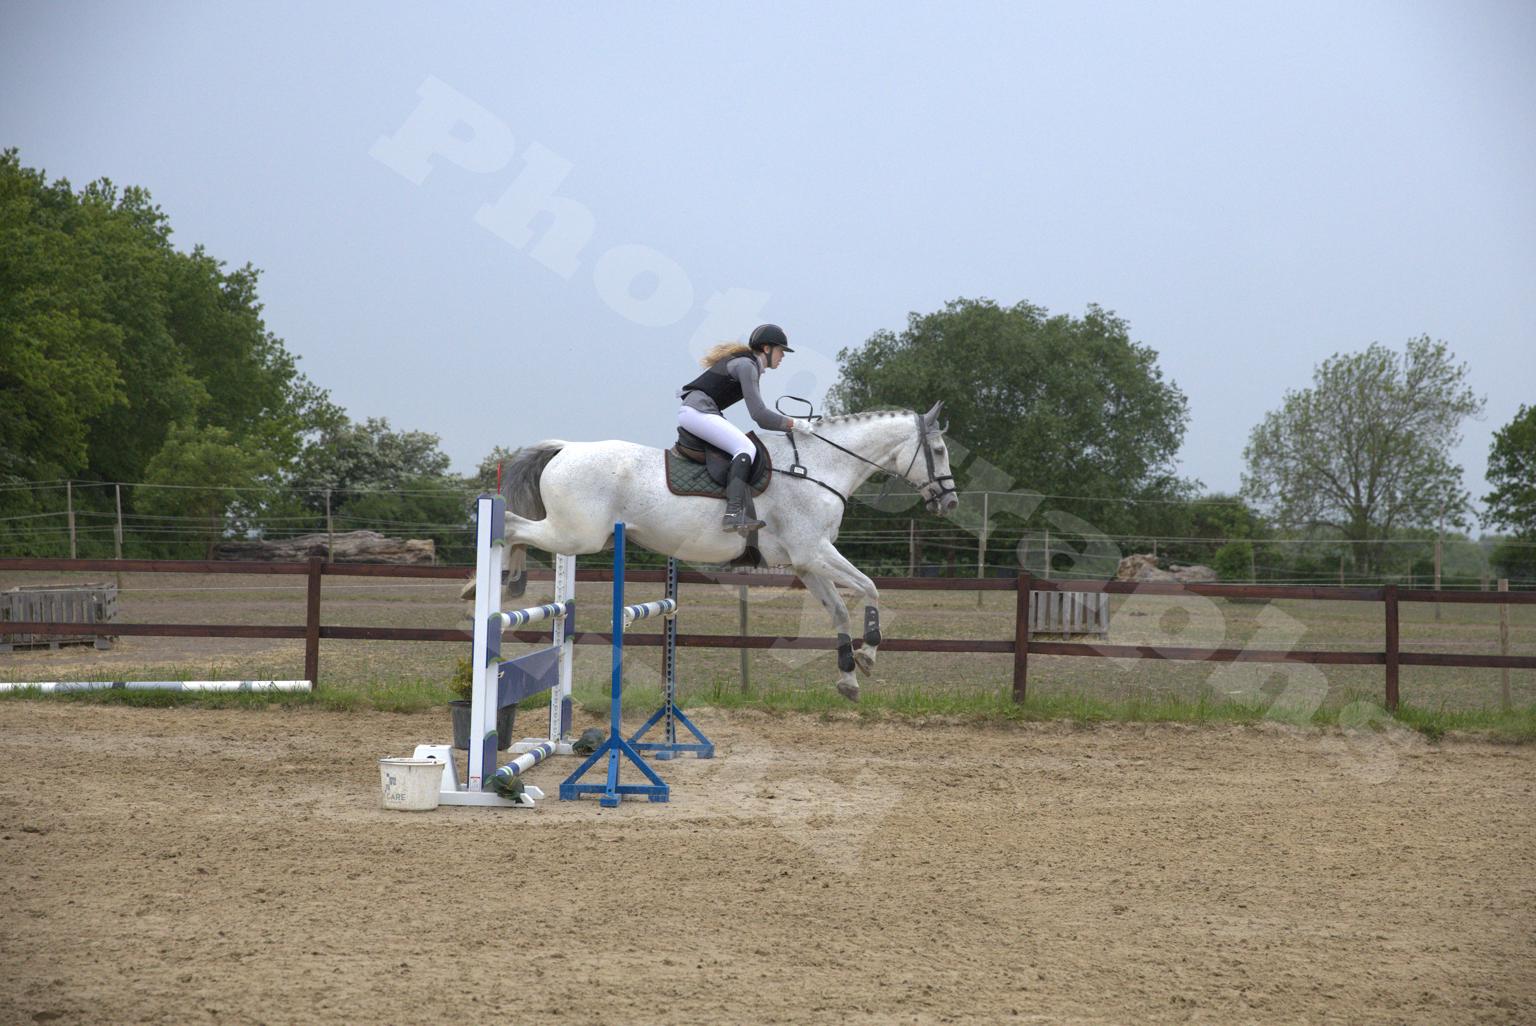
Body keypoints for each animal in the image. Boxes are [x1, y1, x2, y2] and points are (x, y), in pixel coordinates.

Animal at [469, 402, 958, 700]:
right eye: (937, 450)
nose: (949, 502)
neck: (819, 467)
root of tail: (566, 448)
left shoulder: (806, 562)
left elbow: (839, 610)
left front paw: (849, 678)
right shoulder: (816, 551)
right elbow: (871, 587)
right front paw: (870, 656)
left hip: (578, 535)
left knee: (517, 530)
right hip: (576, 535)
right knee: (511, 526)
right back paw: (488, 584)